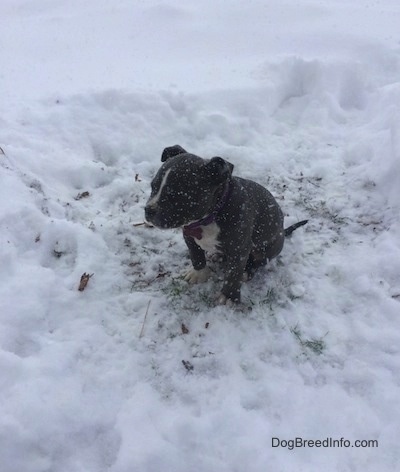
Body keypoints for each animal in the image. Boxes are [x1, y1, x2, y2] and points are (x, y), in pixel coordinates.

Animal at [145, 146, 308, 304]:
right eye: (152, 186)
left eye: (177, 195)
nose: (148, 210)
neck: (211, 216)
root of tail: (283, 231)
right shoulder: (189, 236)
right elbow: (196, 255)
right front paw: (199, 273)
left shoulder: (239, 248)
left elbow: (233, 274)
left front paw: (229, 296)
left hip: (267, 247)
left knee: (258, 261)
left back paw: (247, 271)